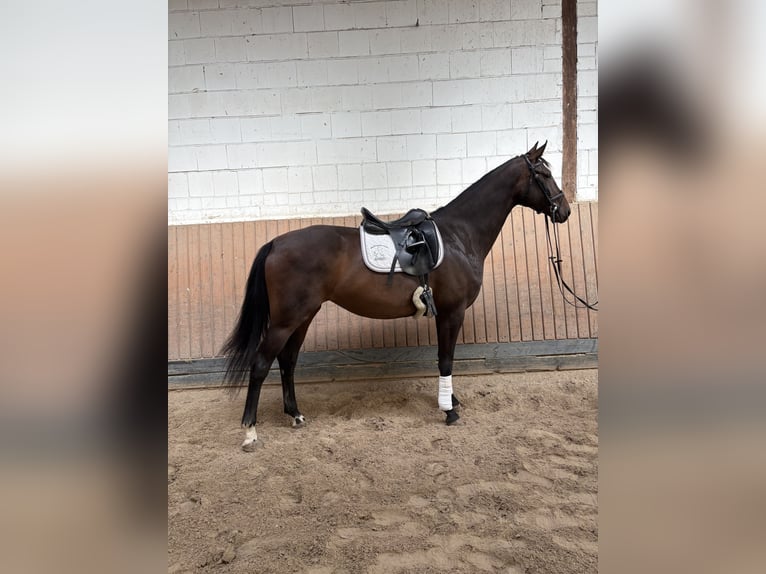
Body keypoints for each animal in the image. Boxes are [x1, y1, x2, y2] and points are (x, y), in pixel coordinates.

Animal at [222, 141, 570, 451]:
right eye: (544, 173)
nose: (564, 210)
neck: (458, 236)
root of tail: (275, 244)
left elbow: (445, 358)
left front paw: (451, 400)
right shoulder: (452, 311)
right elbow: (446, 358)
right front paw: (449, 410)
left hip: (304, 316)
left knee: (288, 360)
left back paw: (295, 414)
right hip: (286, 320)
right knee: (261, 364)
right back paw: (250, 432)